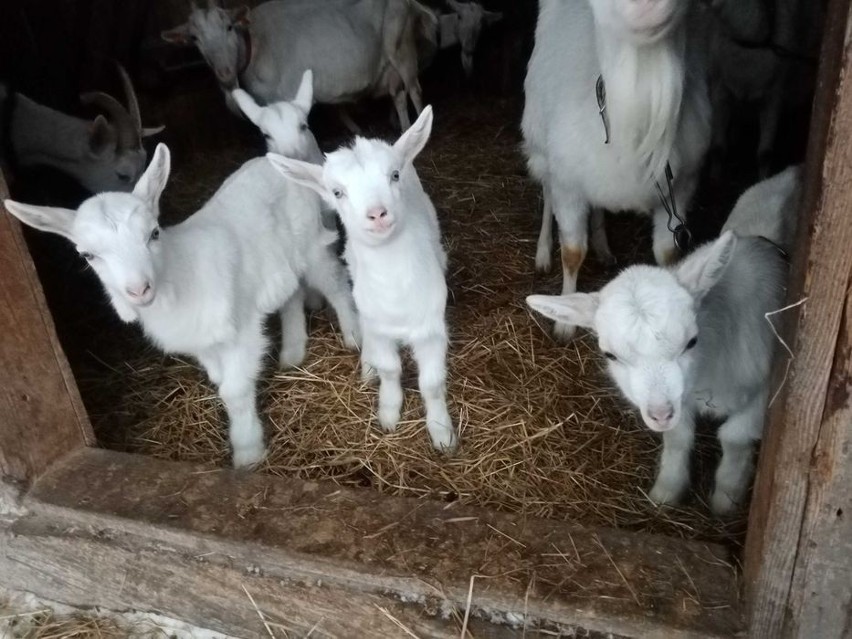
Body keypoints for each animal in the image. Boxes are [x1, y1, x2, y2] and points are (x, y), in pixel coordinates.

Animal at [4, 142, 356, 468]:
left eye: (154, 233)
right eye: (87, 255)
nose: (139, 290)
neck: (178, 279)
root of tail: (271, 161)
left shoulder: (240, 330)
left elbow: (233, 390)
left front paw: (248, 454)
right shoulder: (201, 341)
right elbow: (219, 379)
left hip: (311, 245)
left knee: (335, 283)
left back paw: (353, 336)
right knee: (291, 293)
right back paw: (292, 355)